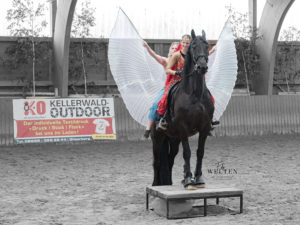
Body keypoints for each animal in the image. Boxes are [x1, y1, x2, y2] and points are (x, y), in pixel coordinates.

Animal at [151, 29, 214, 189]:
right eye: (193, 46)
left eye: (207, 46)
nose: (202, 67)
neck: (195, 94)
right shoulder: (184, 127)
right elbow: (187, 153)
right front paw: (187, 181)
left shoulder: (204, 127)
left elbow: (200, 152)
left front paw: (198, 179)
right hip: (157, 138)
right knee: (157, 161)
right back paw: (156, 184)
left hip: (174, 139)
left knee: (170, 160)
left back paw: (168, 183)